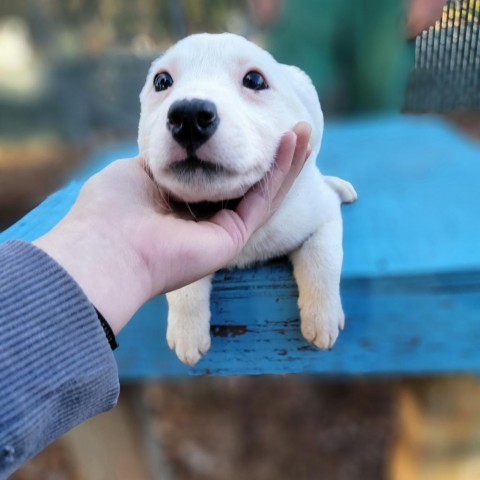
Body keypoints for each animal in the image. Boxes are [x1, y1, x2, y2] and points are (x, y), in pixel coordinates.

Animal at [139, 32, 356, 364]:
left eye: (254, 80)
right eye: (161, 81)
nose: (189, 116)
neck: (229, 202)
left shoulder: (322, 215)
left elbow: (323, 259)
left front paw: (323, 318)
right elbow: (183, 286)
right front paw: (187, 331)